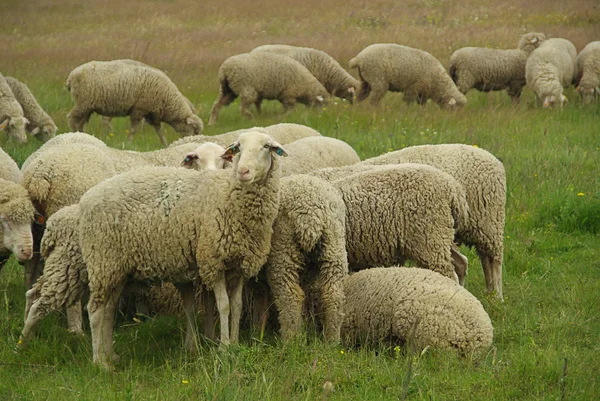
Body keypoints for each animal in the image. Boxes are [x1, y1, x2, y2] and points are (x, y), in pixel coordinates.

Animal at [64, 59, 203, 147]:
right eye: (195, 130)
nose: (195, 144)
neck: (167, 99)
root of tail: (71, 76)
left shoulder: (152, 115)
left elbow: (160, 132)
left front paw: (165, 145)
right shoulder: (139, 110)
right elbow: (133, 130)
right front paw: (129, 143)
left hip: (88, 107)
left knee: (80, 122)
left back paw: (83, 136)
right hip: (83, 102)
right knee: (71, 118)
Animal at [77, 132, 286, 368]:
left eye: (266, 147)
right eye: (238, 147)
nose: (243, 171)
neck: (226, 195)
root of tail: (86, 199)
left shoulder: (240, 264)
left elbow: (237, 305)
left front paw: (234, 343)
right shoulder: (212, 261)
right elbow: (223, 305)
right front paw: (224, 348)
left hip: (117, 268)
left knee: (109, 310)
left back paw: (110, 356)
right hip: (101, 261)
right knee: (95, 311)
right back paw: (99, 363)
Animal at [360, 142, 506, 298]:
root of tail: (494, 159)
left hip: (488, 221)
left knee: (494, 259)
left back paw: (497, 295)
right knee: (484, 259)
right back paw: (489, 292)